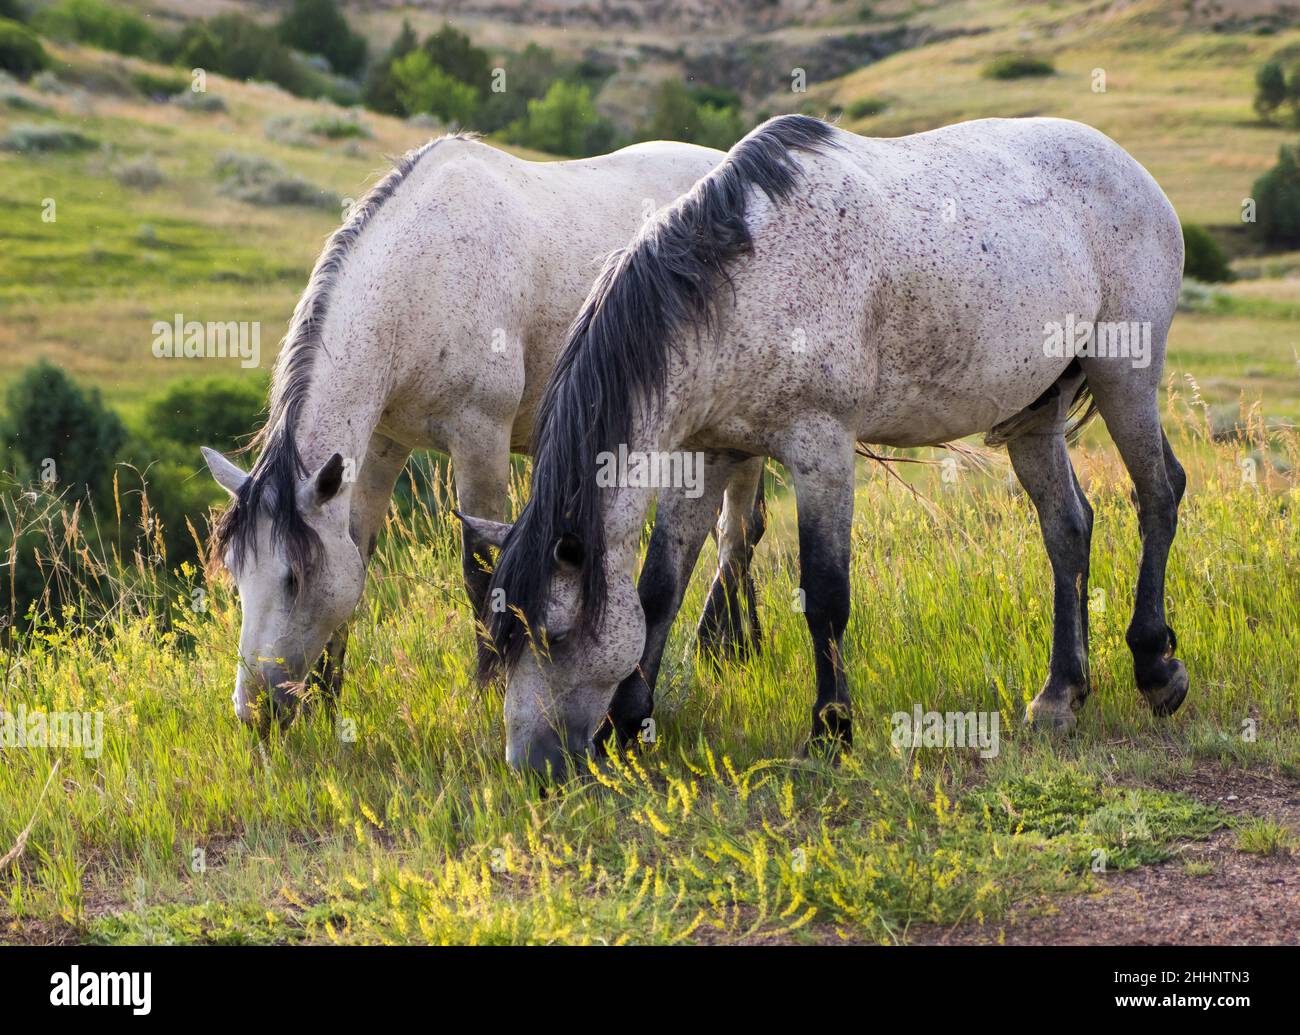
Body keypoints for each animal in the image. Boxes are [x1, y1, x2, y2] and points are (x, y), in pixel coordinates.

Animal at [200, 133, 771, 729]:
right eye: (237, 574)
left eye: (294, 578)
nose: (253, 711)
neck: (423, 276)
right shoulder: (383, 444)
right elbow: (358, 551)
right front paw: (330, 698)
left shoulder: (480, 438)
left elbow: (479, 572)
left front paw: (487, 694)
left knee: (737, 532)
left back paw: (725, 648)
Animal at [461, 114, 1188, 776]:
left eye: (554, 635)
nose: (530, 768)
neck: (741, 288)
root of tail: (1130, 168)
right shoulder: (704, 454)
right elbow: (660, 587)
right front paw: (630, 722)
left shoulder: (821, 449)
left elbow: (825, 593)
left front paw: (830, 731)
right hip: (1035, 414)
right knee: (1068, 527)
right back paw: (1061, 695)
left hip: (1125, 374)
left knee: (1158, 492)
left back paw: (1156, 666)